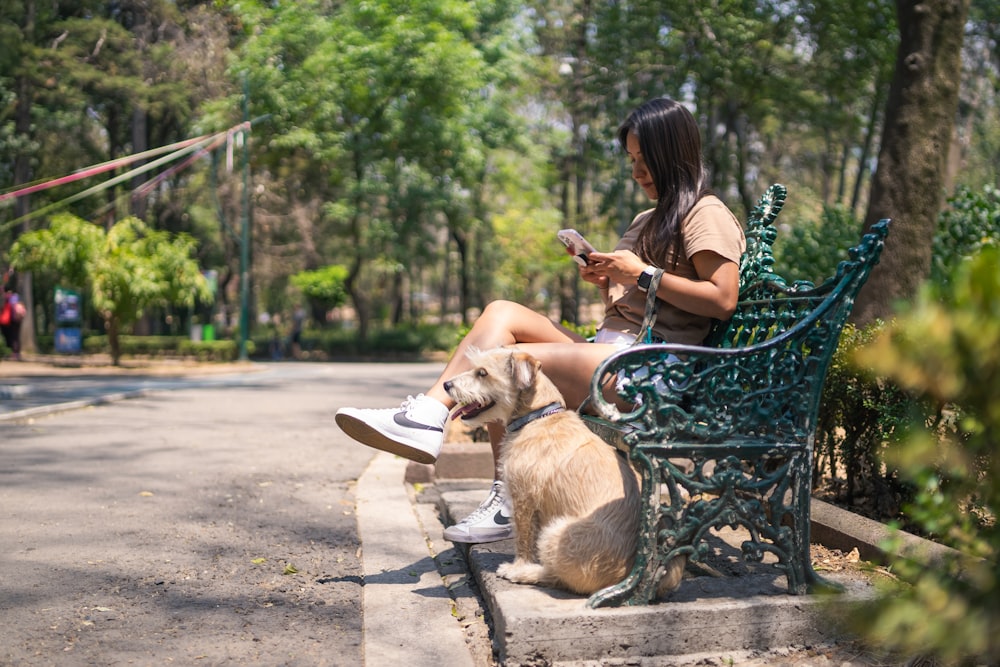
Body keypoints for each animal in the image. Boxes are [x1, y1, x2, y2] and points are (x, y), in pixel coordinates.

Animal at [446, 348, 688, 596]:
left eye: (482, 373)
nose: (447, 384)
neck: (536, 417)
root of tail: (633, 572)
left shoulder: (523, 499)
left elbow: (523, 539)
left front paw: (518, 565)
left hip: (556, 533)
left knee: (559, 578)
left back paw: (526, 573)